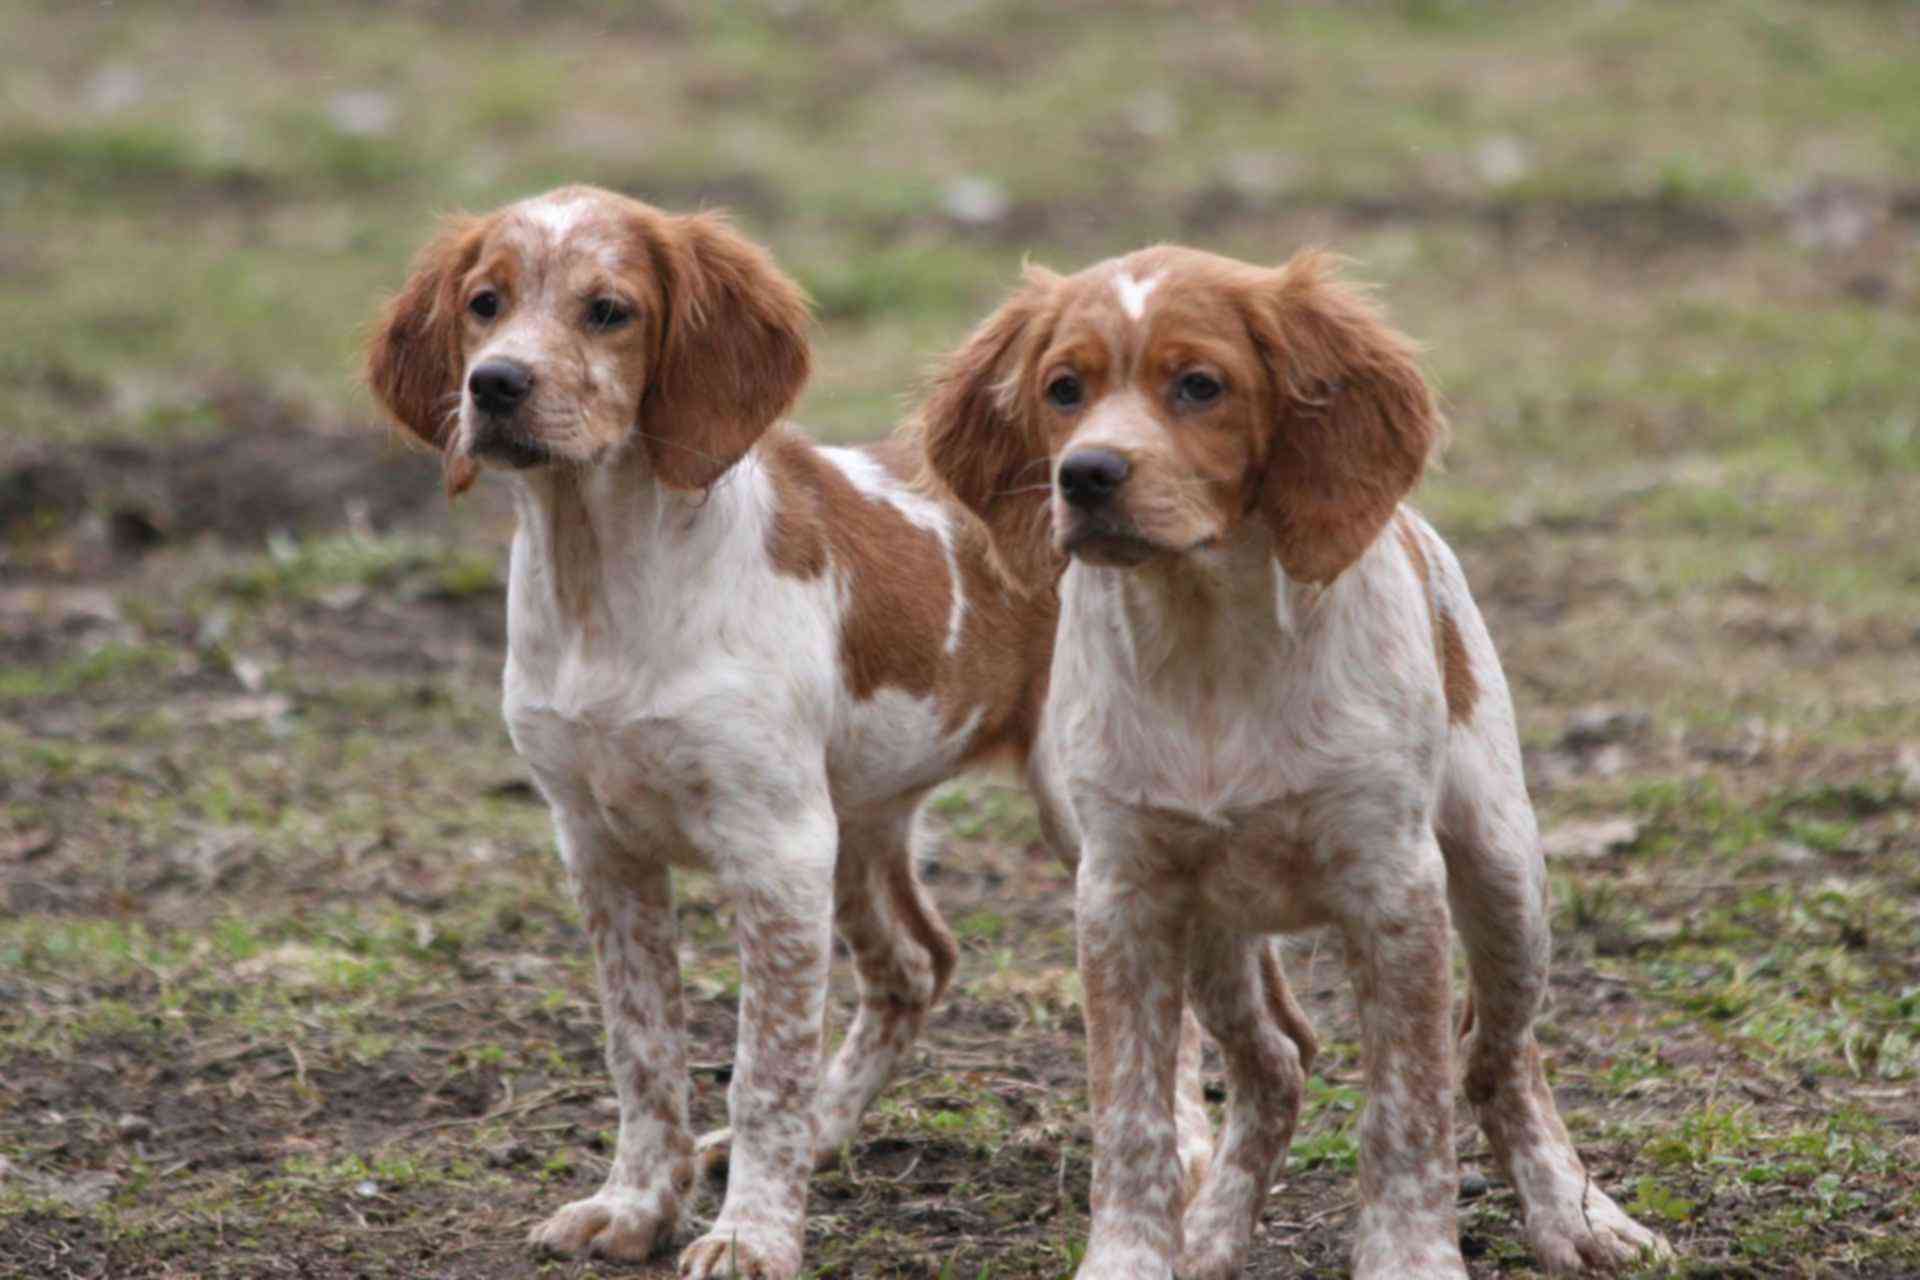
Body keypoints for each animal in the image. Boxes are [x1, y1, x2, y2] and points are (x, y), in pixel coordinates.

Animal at [913, 245, 1666, 1274]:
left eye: (1200, 385)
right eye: (1062, 389)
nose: (1086, 475)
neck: (1208, 645)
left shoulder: (1395, 887)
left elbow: (1408, 1111)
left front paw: (1411, 1258)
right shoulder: (1121, 893)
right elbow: (1131, 1116)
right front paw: (1135, 1256)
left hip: (1504, 874)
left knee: (1499, 1056)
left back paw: (1575, 1216)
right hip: (1212, 927)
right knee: (1277, 1062)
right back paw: (1210, 1235)